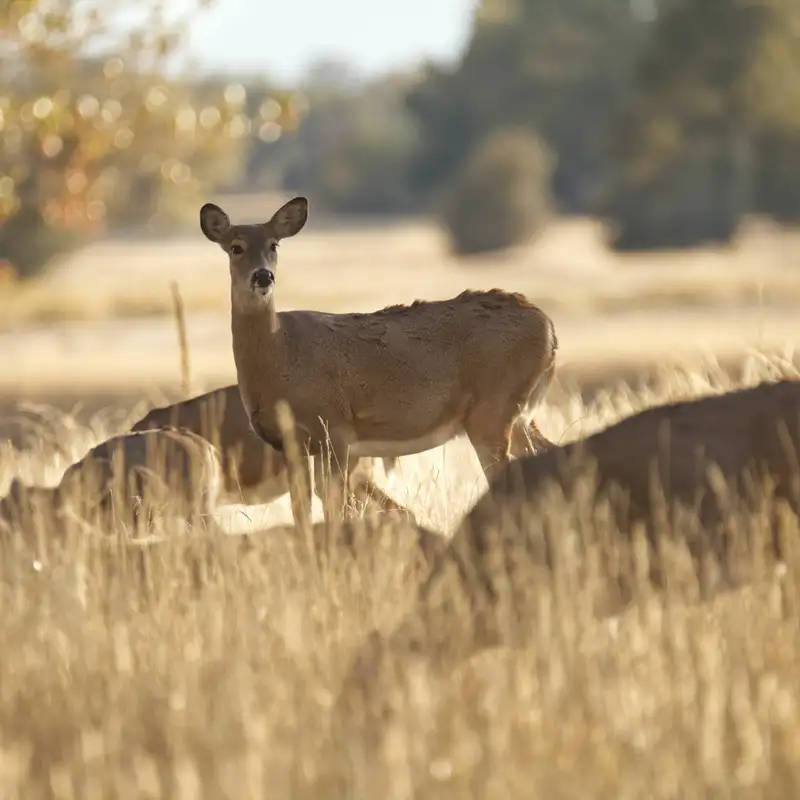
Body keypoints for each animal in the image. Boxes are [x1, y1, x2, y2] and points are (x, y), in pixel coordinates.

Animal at [198, 196, 558, 523]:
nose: (263, 277)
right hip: (518, 413)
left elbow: (335, 508)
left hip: (493, 410)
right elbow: (302, 513)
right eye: (236, 247)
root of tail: (548, 327)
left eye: (274, 245)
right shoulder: (289, 444)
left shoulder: (335, 427)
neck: (280, 355)